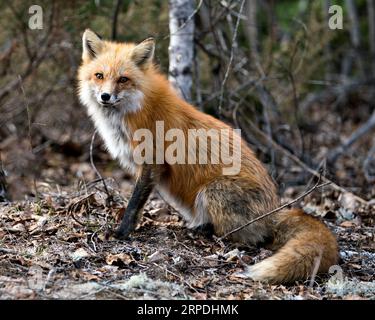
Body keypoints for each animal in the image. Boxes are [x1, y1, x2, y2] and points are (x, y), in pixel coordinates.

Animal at [78, 30, 340, 284]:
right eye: (99, 75)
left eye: (123, 79)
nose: (105, 96)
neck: (137, 108)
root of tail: (273, 211)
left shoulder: (153, 162)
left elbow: (134, 203)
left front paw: (122, 232)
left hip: (213, 191)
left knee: (247, 237)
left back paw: (205, 231)